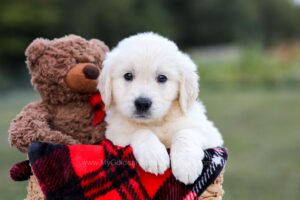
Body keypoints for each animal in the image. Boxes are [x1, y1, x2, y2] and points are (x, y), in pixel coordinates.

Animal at [98, 32, 223, 184]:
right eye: (128, 75)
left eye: (162, 78)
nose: (142, 103)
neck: (157, 122)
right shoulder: (116, 135)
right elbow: (140, 131)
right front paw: (154, 155)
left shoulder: (209, 133)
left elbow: (186, 133)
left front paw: (186, 165)